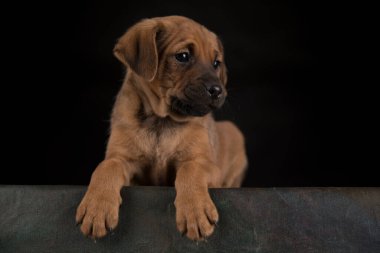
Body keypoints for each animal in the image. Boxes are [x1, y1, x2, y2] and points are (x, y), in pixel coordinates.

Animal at [75, 15, 248, 241]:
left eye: (216, 63)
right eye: (183, 56)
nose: (218, 91)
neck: (161, 121)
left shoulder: (205, 162)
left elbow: (190, 169)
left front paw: (195, 211)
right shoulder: (123, 159)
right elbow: (106, 167)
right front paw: (96, 207)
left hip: (233, 132)